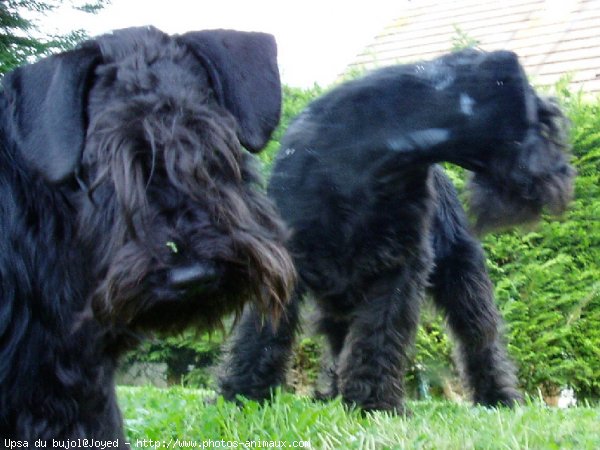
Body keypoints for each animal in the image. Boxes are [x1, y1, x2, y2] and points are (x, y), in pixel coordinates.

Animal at [218, 49, 576, 412]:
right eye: (544, 121)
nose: (565, 174)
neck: (368, 153)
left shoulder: (397, 267)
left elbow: (380, 333)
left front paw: (373, 401)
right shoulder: (287, 257)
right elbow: (263, 330)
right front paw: (242, 393)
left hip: (463, 283)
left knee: (479, 338)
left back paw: (497, 396)